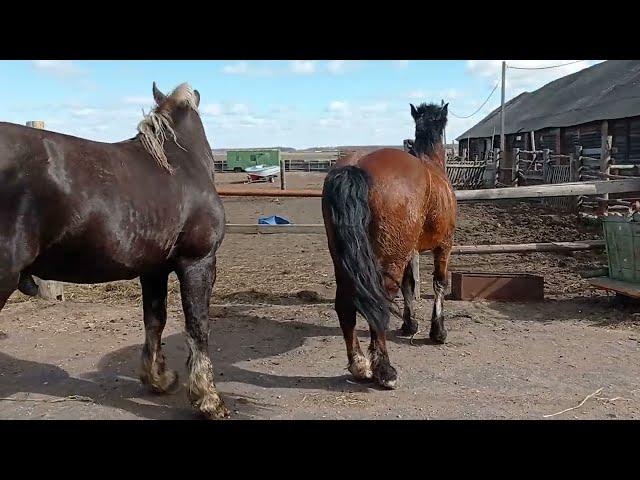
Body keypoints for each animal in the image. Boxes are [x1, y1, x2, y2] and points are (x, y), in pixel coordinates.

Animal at [0, 82, 230, 420]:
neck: (181, 165)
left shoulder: (154, 270)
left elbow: (155, 320)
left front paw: (158, 378)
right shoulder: (198, 263)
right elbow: (198, 327)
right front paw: (209, 399)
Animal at [320, 103, 456, 388]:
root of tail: (356, 166)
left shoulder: (410, 251)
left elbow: (409, 285)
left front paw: (409, 324)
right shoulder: (444, 244)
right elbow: (439, 283)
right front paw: (437, 331)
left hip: (344, 260)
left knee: (345, 305)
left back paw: (359, 365)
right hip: (390, 259)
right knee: (378, 304)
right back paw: (384, 370)